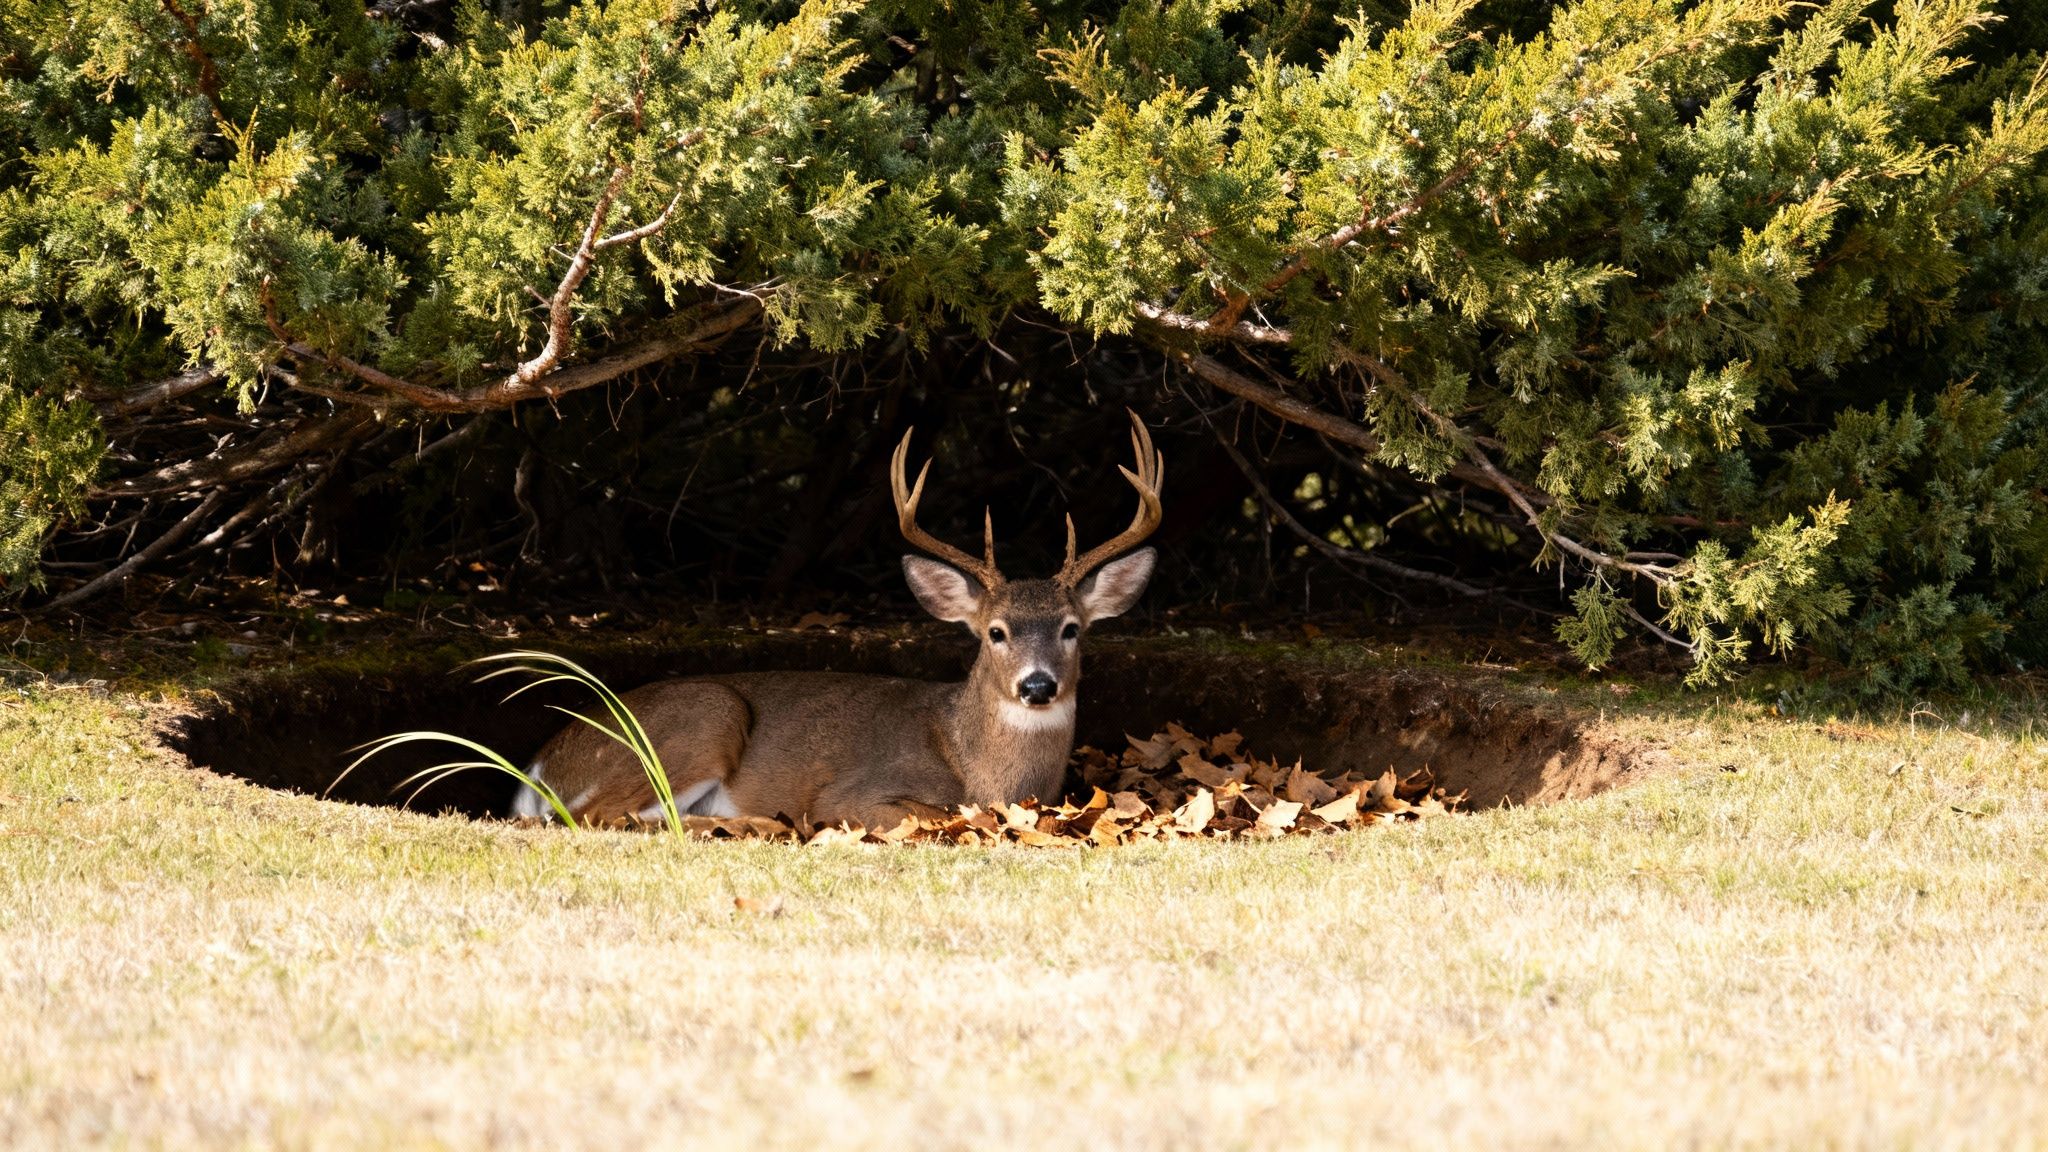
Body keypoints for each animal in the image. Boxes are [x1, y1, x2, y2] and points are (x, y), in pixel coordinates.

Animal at [510, 412, 1165, 829]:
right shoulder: (857, 795)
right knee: (601, 818)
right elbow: (928, 813)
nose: (1037, 685)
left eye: (1071, 628)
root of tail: (538, 769)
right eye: (994, 632)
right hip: (705, 716)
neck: (982, 771)